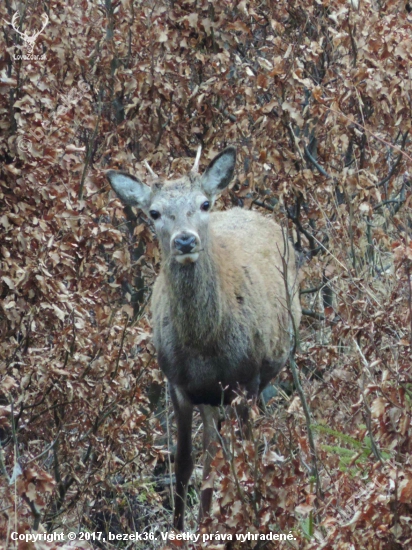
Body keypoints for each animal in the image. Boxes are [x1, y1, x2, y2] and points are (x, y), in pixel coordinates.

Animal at [104, 147, 300, 532]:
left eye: (204, 203)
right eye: (154, 212)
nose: (185, 240)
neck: (204, 346)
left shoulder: (246, 381)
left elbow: (246, 461)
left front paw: (248, 522)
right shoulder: (176, 385)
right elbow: (183, 464)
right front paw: (179, 530)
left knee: (224, 449)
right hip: (211, 398)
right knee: (211, 449)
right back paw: (206, 518)